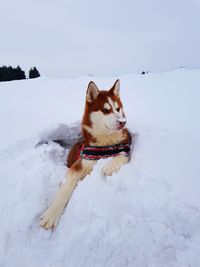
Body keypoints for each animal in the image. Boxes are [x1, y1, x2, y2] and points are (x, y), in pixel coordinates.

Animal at [40, 79, 131, 230]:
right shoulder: (79, 165)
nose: (123, 122)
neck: (105, 143)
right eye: (106, 110)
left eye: (118, 108)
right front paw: (51, 214)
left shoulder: (126, 146)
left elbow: (121, 155)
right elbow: (65, 187)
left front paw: (109, 166)